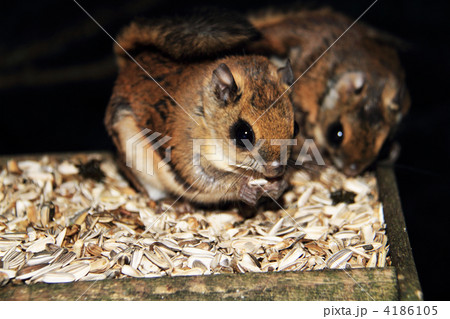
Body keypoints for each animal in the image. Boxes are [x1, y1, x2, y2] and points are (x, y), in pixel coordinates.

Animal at [103, 13, 298, 206]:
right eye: (243, 134)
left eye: (296, 128)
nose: (276, 170)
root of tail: (128, 66)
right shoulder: (184, 145)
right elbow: (206, 178)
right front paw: (244, 186)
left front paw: (279, 186)